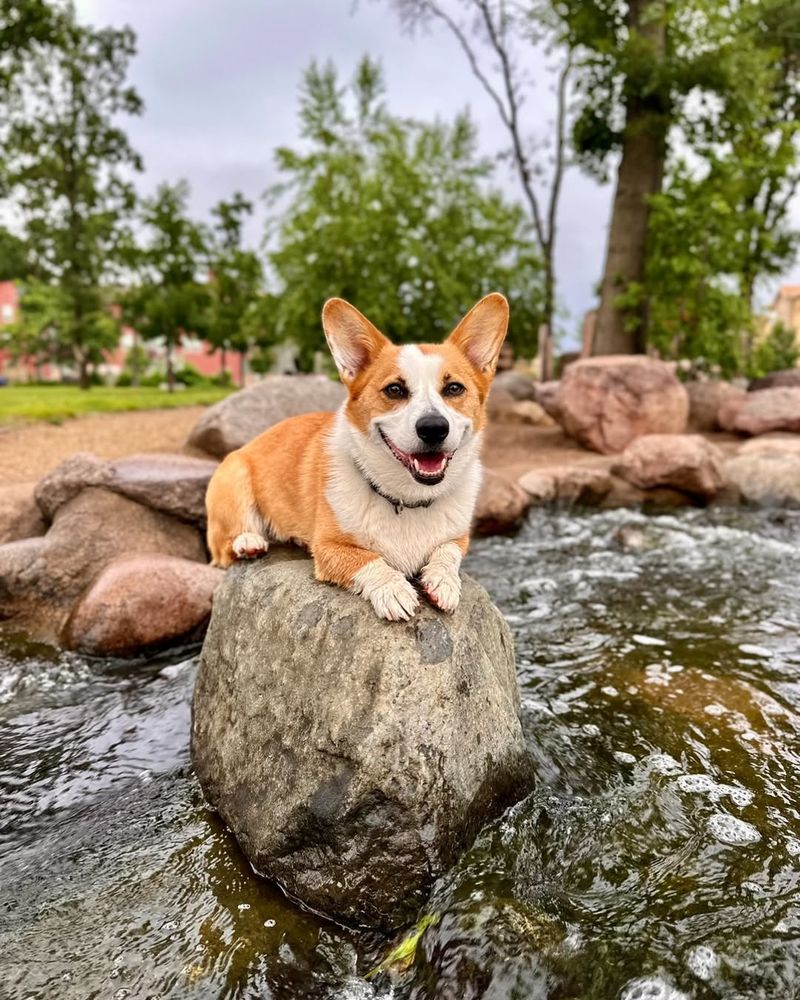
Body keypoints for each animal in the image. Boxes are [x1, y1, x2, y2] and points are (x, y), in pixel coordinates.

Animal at [205, 292, 506, 616]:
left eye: (454, 388)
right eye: (395, 390)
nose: (434, 428)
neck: (406, 499)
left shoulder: (458, 538)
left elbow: (447, 552)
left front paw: (443, 581)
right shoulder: (329, 547)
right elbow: (369, 560)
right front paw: (393, 589)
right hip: (234, 476)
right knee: (223, 548)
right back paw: (248, 541)